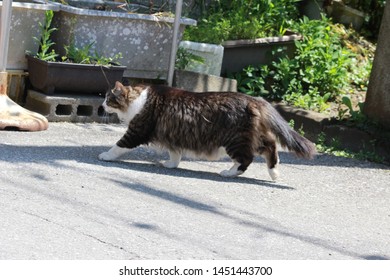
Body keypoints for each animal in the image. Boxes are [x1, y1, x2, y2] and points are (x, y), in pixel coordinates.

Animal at [99, 82, 316, 180]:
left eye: (109, 99)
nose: (101, 106)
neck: (138, 101)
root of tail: (253, 99)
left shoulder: (136, 131)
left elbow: (118, 146)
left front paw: (105, 155)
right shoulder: (172, 136)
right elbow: (175, 154)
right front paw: (171, 164)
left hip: (235, 140)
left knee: (247, 159)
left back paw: (229, 173)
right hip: (249, 137)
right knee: (270, 147)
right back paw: (274, 173)